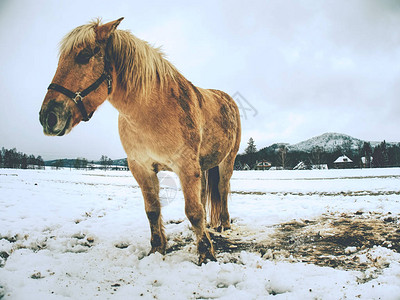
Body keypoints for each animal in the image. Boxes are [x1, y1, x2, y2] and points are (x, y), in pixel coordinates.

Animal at [39, 17, 241, 264]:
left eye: (84, 56)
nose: (48, 117)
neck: (153, 111)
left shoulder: (185, 166)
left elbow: (193, 211)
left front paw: (206, 254)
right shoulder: (141, 167)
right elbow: (153, 211)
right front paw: (157, 249)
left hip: (226, 161)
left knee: (222, 189)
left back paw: (224, 225)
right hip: (202, 166)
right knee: (204, 196)